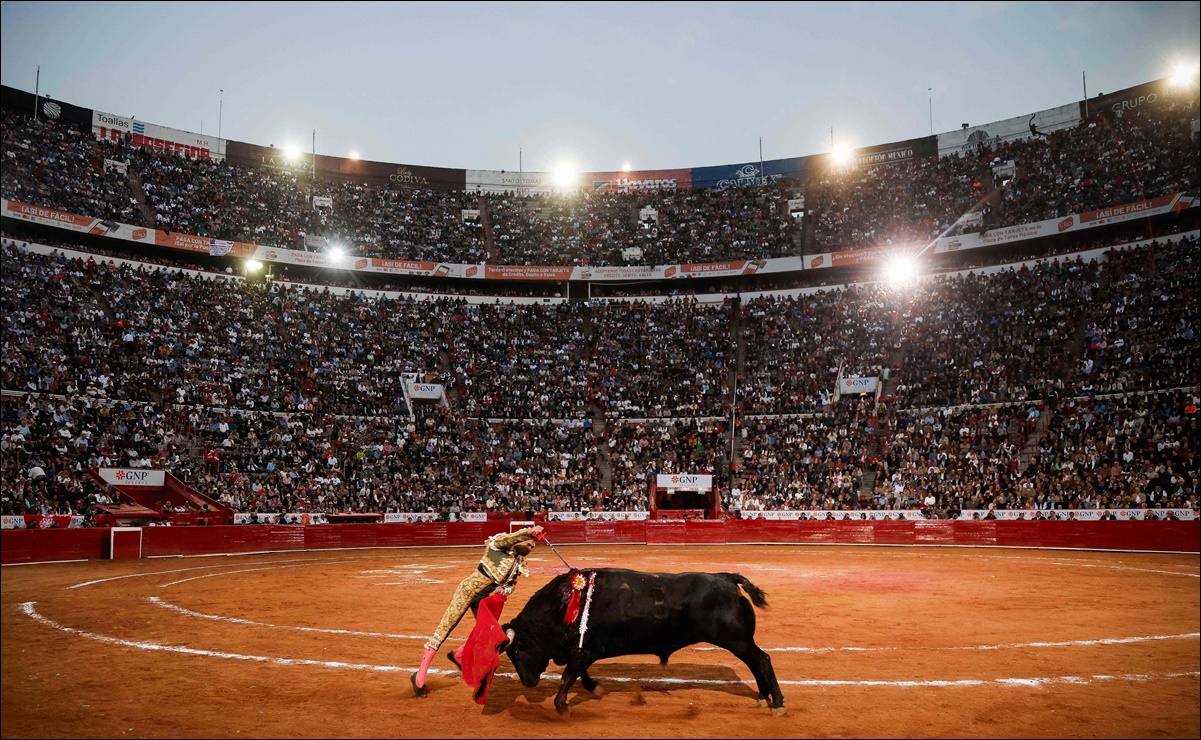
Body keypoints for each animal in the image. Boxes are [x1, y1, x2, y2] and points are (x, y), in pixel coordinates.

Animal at [502, 569, 783, 715]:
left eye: (516, 651)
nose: (527, 682)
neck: (563, 606)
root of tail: (726, 578)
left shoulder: (584, 650)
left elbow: (568, 676)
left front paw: (562, 707)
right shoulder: (583, 651)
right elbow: (580, 674)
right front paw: (595, 688)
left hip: (737, 640)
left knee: (762, 660)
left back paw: (777, 704)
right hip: (740, 641)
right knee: (756, 663)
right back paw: (762, 699)